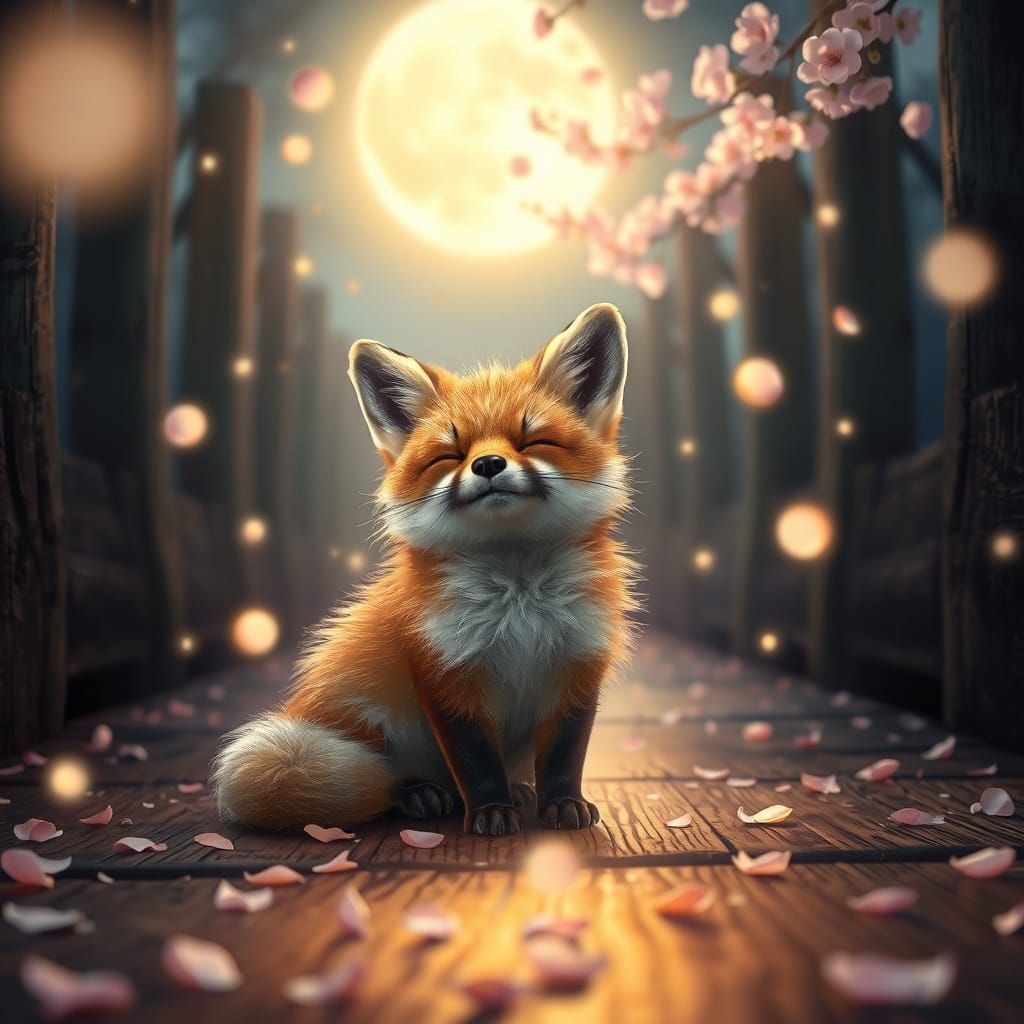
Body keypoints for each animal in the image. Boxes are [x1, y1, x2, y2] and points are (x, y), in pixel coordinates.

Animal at [211, 302, 638, 836]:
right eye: (449, 455)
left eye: (531, 440)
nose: (489, 464)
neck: (520, 602)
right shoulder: (444, 673)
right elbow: (475, 761)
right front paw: (491, 812)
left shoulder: (577, 669)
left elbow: (564, 757)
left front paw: (562, 804)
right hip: (368, 713)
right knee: (389, 777)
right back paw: (420, 794)